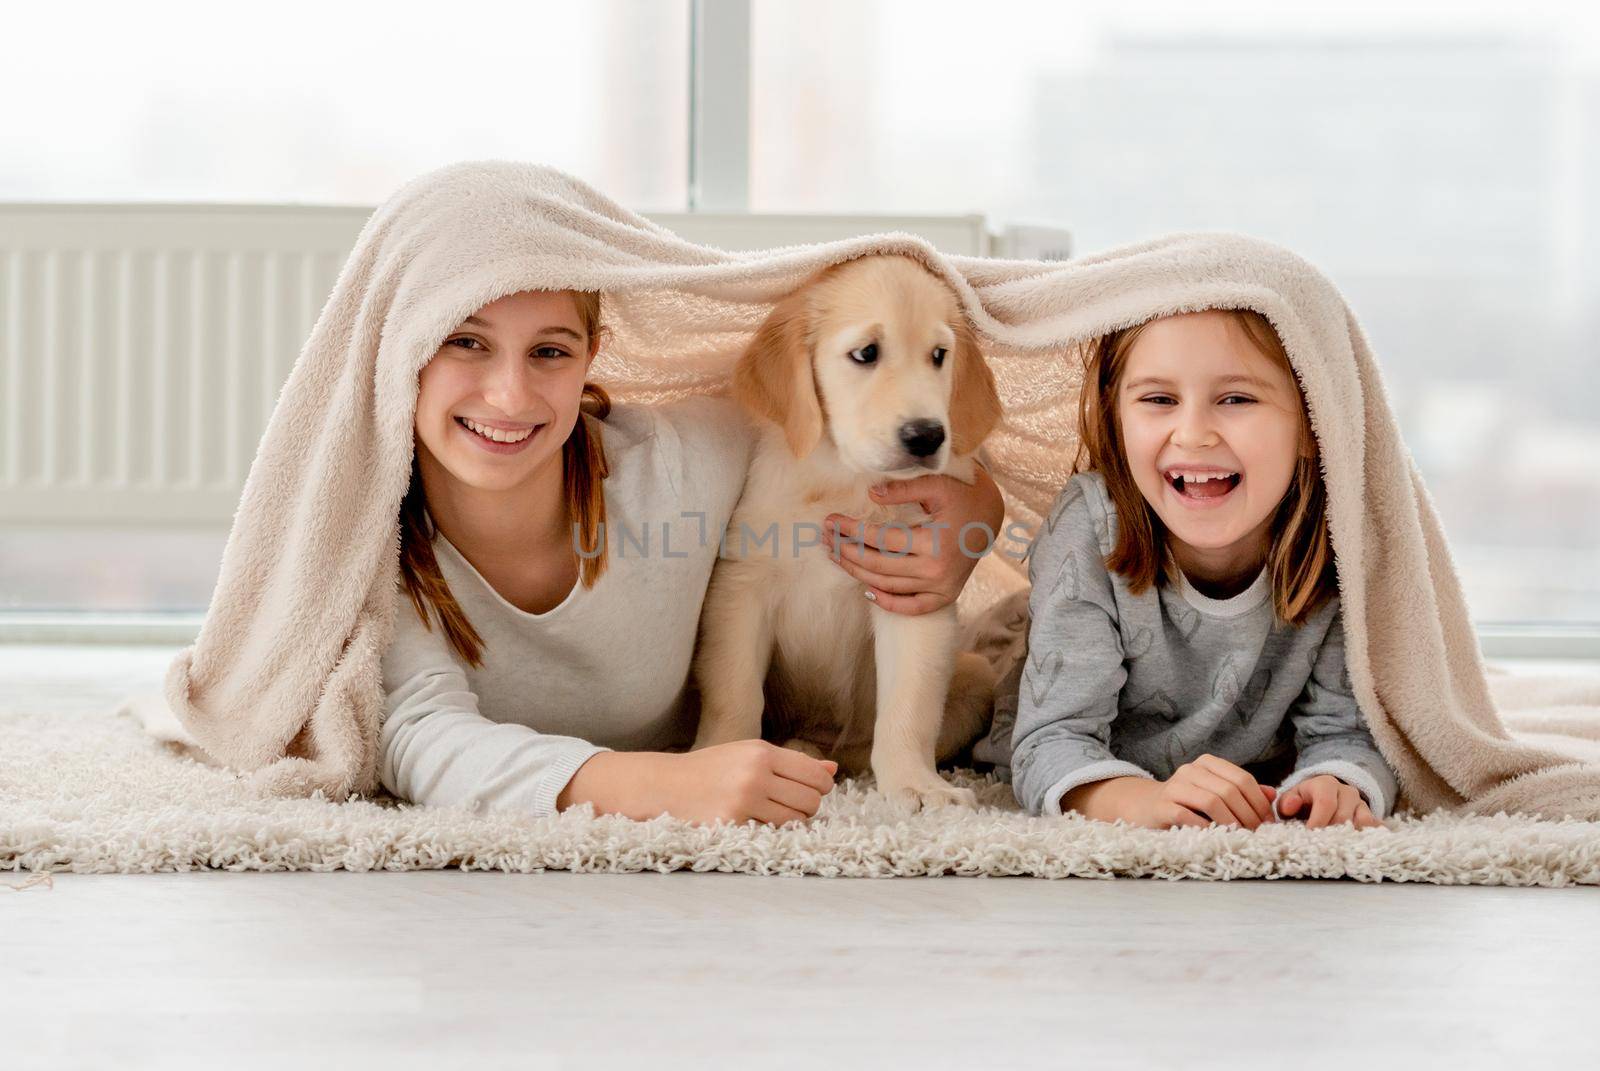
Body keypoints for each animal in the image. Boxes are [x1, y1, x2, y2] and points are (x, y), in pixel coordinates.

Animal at [694, 252, 1004, 800]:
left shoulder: (910, 596)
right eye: (866, 353)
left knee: (854, 748)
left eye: (939, 356)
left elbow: (909, 708)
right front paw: (720, 756)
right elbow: (733, 690)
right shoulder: (740, 588)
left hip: (976, 674)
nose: (927, 436)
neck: (846, 482)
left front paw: (915, 784)